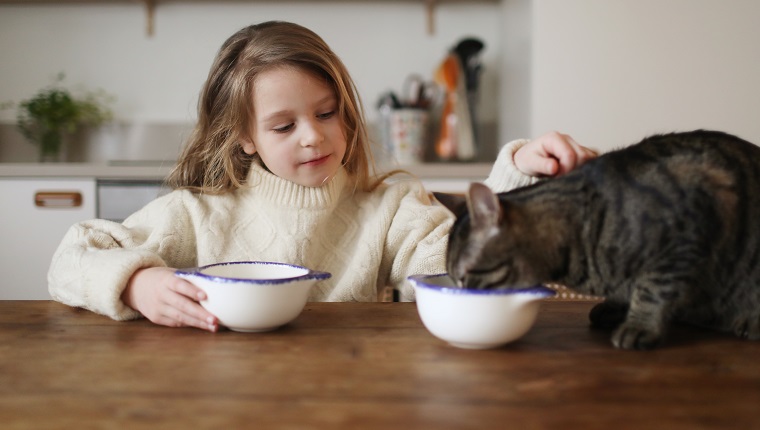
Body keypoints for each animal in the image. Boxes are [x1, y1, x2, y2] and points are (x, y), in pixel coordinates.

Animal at [436, 130, 760, 350]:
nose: (460, 293)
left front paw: (639, 325)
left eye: (464, 276)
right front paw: (615, 305)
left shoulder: (681, 243)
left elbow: (653, 290)